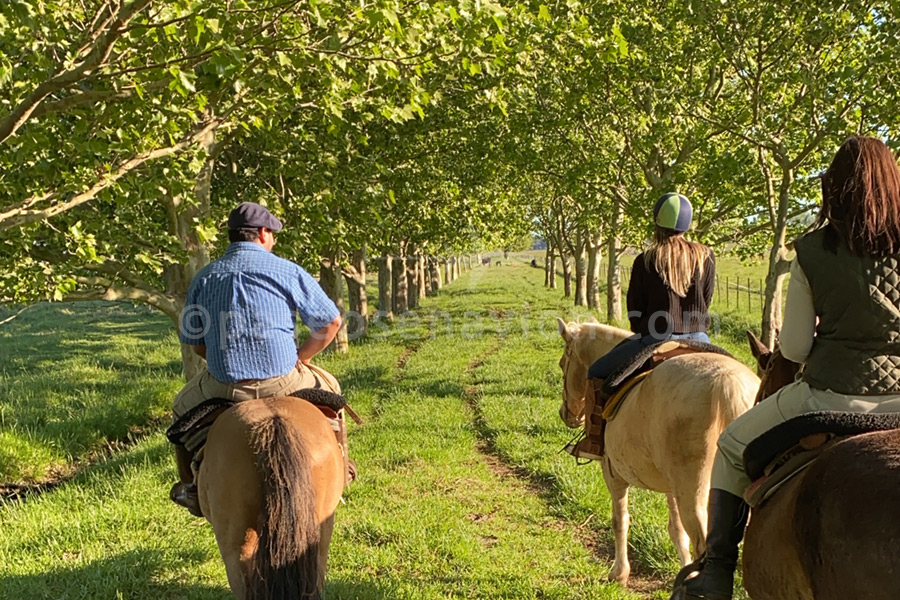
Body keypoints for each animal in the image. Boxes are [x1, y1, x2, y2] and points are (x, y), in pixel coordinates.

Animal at [556, 318, 760, 584]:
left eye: (563, 364)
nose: (566, 414)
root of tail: (729, 384)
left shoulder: (614, 476)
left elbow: (620, 520)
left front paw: (619, 573)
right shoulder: (672, 487)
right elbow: (677, 531)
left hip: (694, 494)